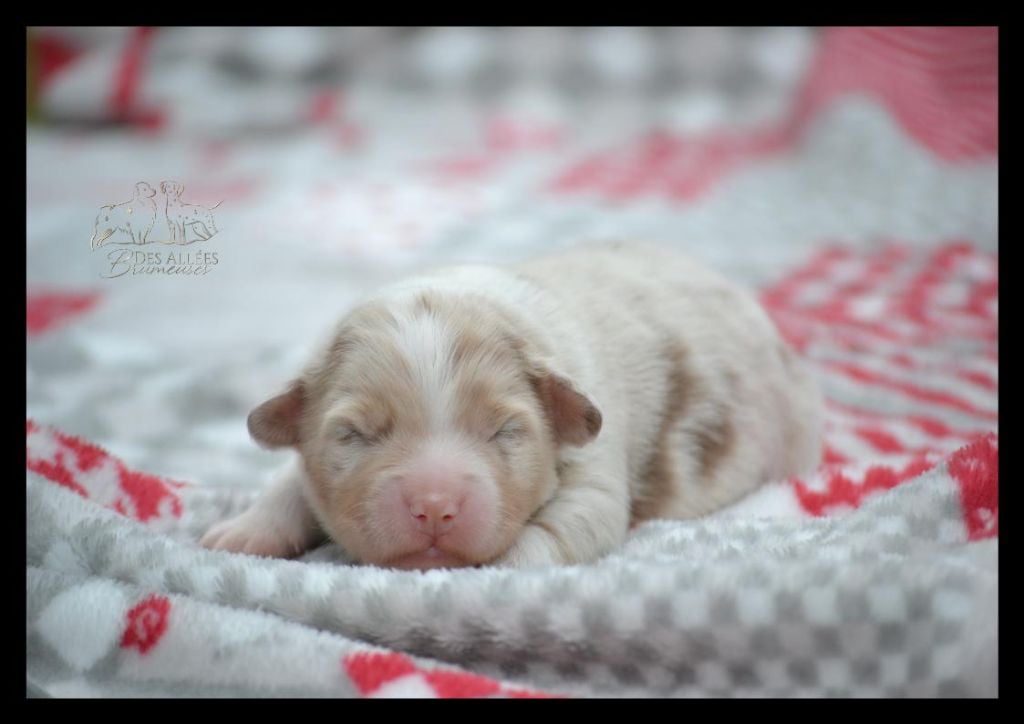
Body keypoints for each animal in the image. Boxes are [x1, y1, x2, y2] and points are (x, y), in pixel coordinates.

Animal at [199, 243, 823, 573]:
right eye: (355, 434)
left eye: (504, 431)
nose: (434, 507)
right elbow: (287, 482)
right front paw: (241, 534)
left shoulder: (595, 457)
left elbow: (577, 519)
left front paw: (497, 567)